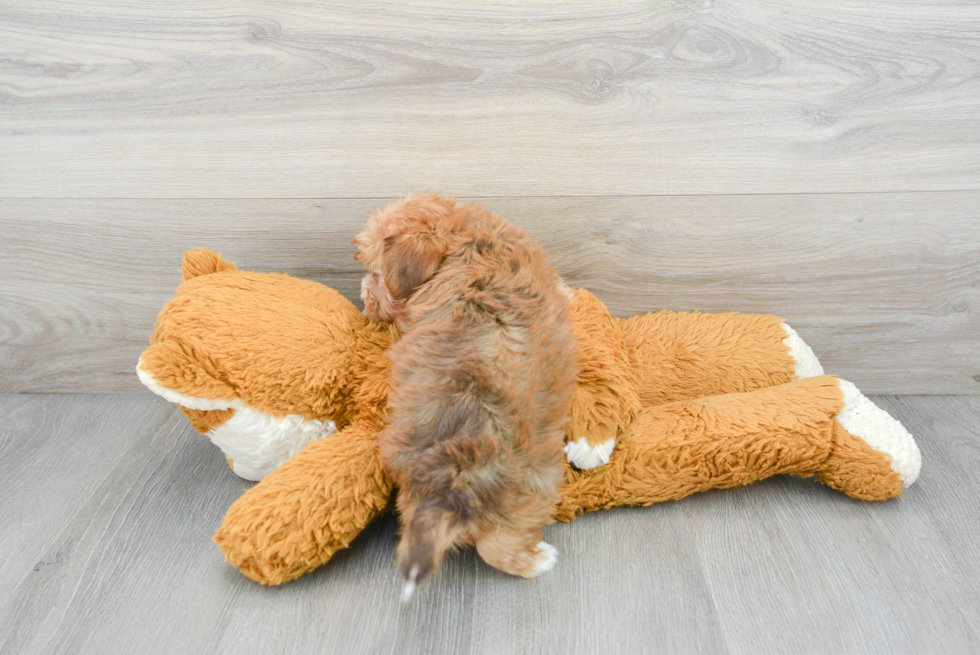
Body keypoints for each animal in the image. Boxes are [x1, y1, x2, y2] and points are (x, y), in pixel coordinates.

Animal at [354, 192, 580, 596]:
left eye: (376, 274)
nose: (363, 298)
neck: (463, 241)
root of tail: (451, 481)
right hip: (533, 490)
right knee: (500, 547)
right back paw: (539, 559)